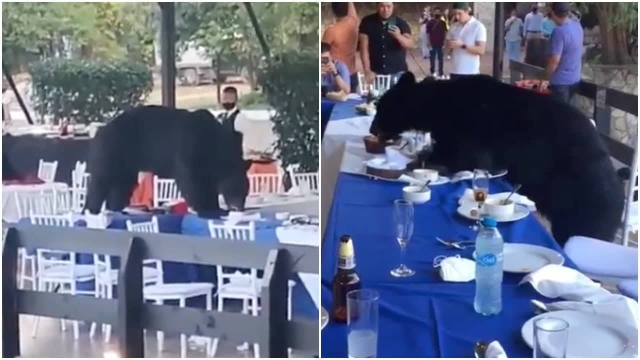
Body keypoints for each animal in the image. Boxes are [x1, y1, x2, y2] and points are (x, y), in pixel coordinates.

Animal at [82, 105, 248, 218]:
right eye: (238, 190)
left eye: (245, 192)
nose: (240, 207)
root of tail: (100, 131)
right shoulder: (189, 144)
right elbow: (190, 179)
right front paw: (204, 207)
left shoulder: (207, 163)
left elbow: (208, 182)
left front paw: (214, 207)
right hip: (112, 148)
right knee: (101, 180)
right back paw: (91, 210)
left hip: (126, 162)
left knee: (122, 184)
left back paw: (115, 208)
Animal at [370, 73, 624, 248]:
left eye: (381, 108)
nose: (372, 128)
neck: (438, 104)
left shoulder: (472, 126)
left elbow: (469, 156)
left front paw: (428, 162)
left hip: (583, 196)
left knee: (582, 229)